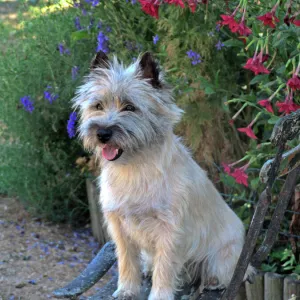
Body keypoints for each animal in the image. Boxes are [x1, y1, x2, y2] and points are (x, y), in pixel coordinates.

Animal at [72, 51, 253, 300]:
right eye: (97, 105)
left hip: (224, 254)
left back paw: (214, 281)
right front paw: (126, 290)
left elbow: (165, 268)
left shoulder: (170, 230)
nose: (102, 133)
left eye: (130, 107)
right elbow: (126, 261)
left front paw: (159, 295)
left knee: (223, 271)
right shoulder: (119, 227)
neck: (134, 168)